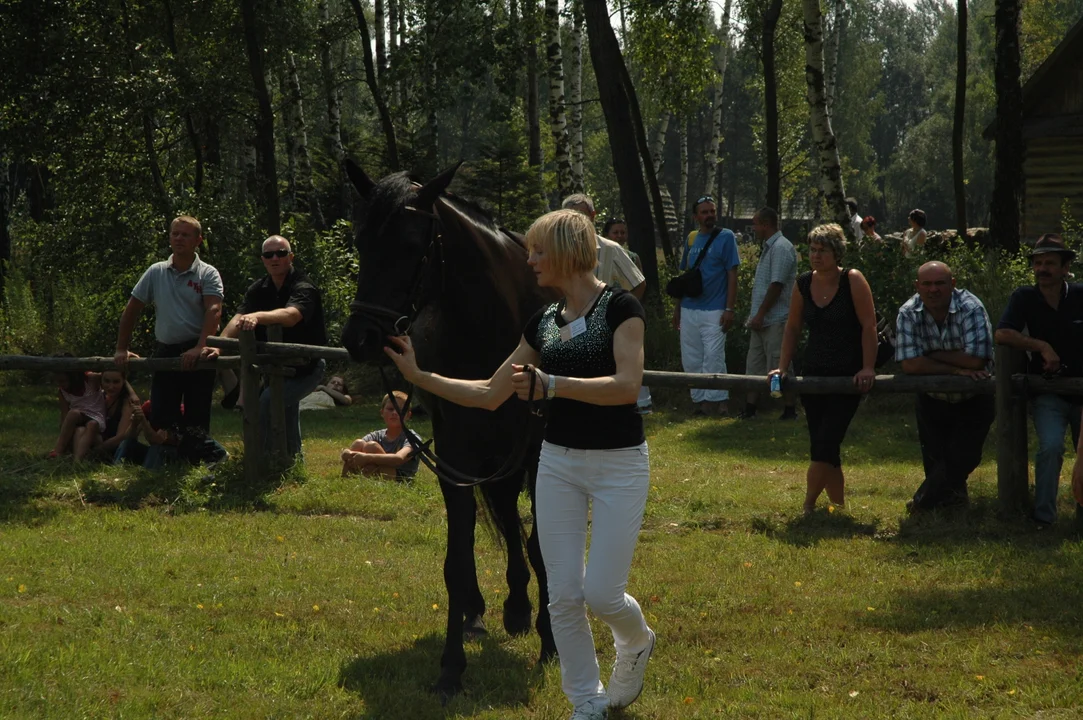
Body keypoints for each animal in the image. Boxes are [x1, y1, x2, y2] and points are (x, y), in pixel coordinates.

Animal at [340, 160, 558, 697]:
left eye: (410, 245)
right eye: (361, 241)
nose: (361, 337)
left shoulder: (537, 455)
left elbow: (540, 544)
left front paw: (551, 642)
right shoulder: (457, 458)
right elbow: (457, 559)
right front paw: (451, 667)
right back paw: (490, 612)